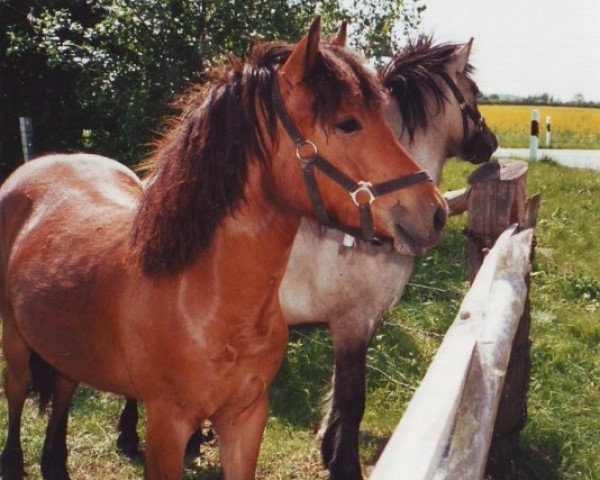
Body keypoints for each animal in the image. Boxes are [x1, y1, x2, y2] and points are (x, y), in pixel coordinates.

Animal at [0, 17, 446, 480]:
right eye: (347, 123)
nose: (435, 212)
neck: (204, 296)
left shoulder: (245, 417)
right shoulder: (167, 425)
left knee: (63, 390)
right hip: (14, 336)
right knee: (16, 392)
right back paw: (13, 462)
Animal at [117, 33, 496, 480]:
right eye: (475, 92)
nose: (490, 143)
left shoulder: (361, 323)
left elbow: (338, 399)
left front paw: (329, 448)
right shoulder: (351, 322)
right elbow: (352, 401)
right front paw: (345, 464)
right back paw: (129, 435)